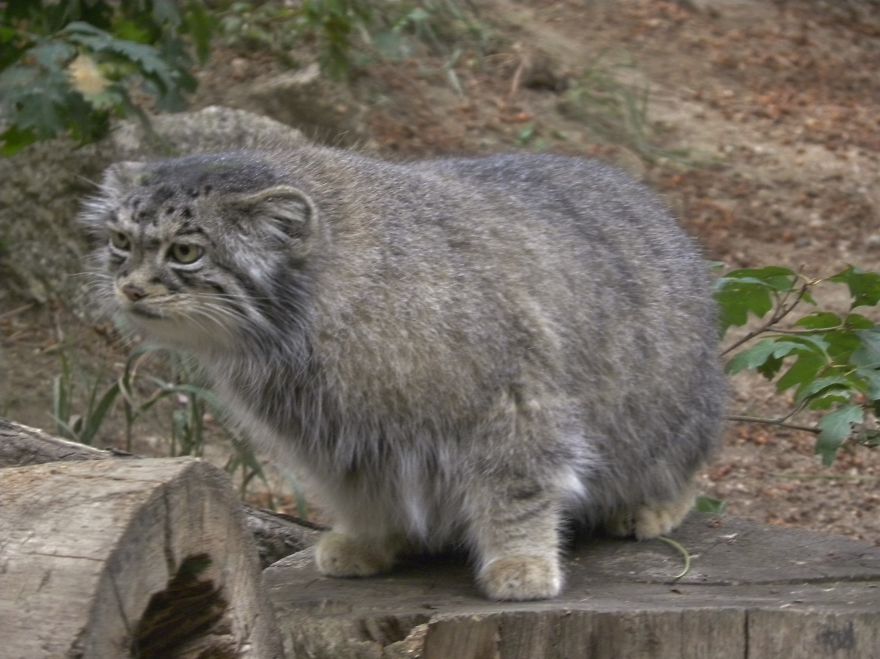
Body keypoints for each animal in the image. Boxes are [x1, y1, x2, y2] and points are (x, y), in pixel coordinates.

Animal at [82, 150, 724, 604]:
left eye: (185, 251)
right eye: (120, 242)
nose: (130, 288)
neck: (305, 325)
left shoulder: (513, 400)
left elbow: (516, 490)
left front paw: (519, 562)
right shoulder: (337, 435)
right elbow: (362, 491)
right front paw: (368, 542)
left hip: (674, 412)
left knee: (678, 468)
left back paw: (651, 506)